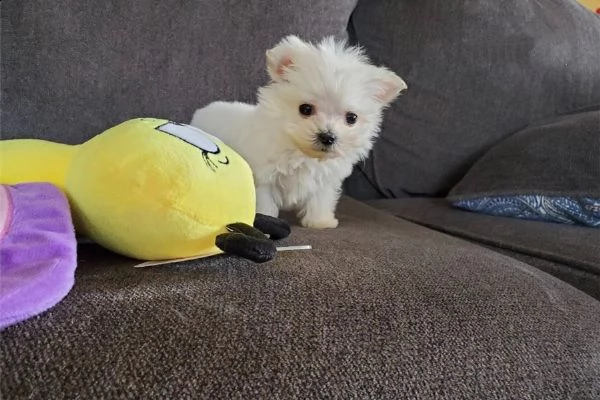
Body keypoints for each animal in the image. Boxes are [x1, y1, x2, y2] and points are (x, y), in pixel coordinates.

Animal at [191, 35, 408, 228]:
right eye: (305, 109)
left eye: (351, 118)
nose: (327, 137)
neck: (300, 152)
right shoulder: (264, 178)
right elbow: (265, 202)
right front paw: (265, 222)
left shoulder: (325, 181)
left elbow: (320, 200)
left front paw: (320, 222)